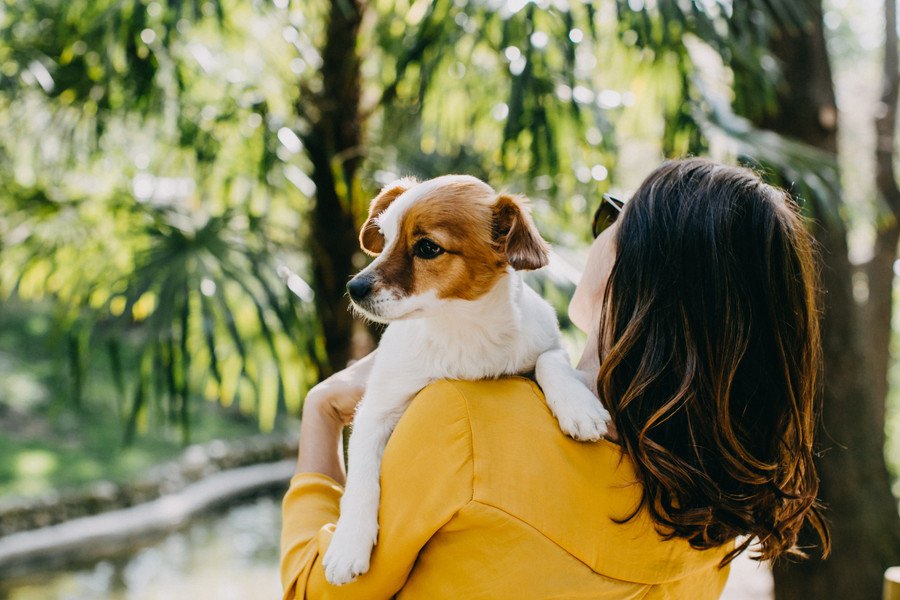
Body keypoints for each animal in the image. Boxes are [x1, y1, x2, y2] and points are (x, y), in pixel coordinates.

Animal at [324, 173, 612, 584]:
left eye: (428, 247)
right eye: (384, 236)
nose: (354, 289)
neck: (461, 328)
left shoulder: (549, 343)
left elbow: (549, 361)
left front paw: (578, 407)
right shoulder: (376, 409)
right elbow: (361, 479)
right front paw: (349, 544)